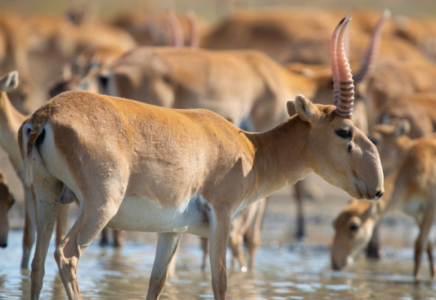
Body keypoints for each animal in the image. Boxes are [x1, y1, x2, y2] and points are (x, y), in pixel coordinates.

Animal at [330, 120, 436, 278]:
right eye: (334, 224)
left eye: (353, 226)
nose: (335, 263)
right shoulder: (416, 214)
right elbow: (427, 246)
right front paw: (432, 275)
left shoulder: (430, 209)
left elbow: (419, 246)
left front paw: (416, 279)